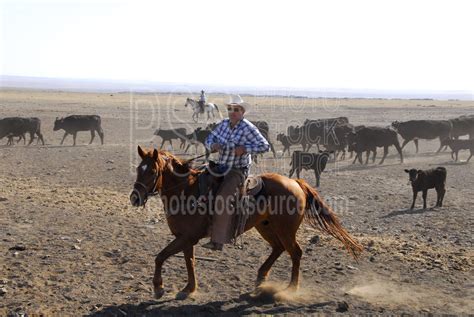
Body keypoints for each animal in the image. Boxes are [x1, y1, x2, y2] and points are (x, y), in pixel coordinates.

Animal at [130, 146, 362, 298]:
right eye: (138, 169)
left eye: (152, 171)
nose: (135, 198)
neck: (186, 190)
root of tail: (295, 182)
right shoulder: (185, 238)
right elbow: (189, 261)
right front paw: (189, 288)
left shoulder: (187, 237)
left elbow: (160, 257)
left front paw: (159, 287)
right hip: (265, 226)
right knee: (278, 248)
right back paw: (261, 277)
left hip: (286, 229)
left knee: (295, 252)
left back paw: (291, 289)